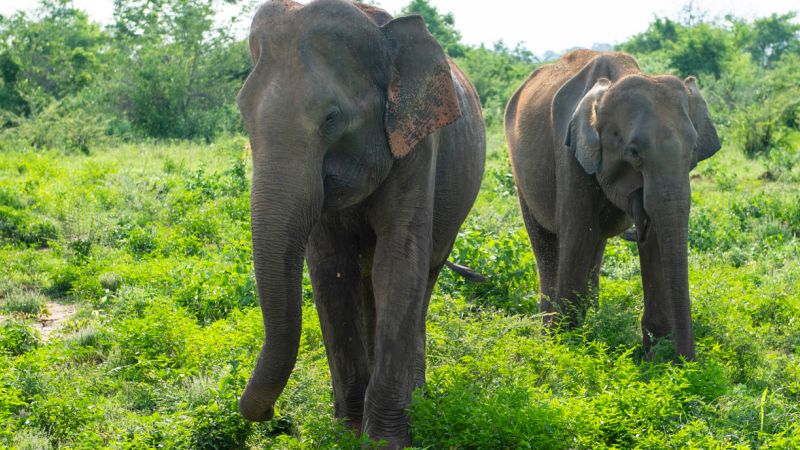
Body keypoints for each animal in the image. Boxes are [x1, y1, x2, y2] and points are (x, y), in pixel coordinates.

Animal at [236, 0, 485, 447]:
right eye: (242, 111)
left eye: (331, 118)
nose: (273, 415)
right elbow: (330, 269)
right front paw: (348, 430)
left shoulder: (418, 146)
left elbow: (398, 262)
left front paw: (384, 440)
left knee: (423, 279)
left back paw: (419, 398)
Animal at [504, 50, 720, 361]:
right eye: (633, 152)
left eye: (693, 152)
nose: (687, 363)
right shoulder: (569, 152)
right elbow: (577, 233)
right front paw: (566, 350)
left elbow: (655, 239)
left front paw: (656, 357)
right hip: (521, 175)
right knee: (546, 242)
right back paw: (549, 334)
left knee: (596, 245)